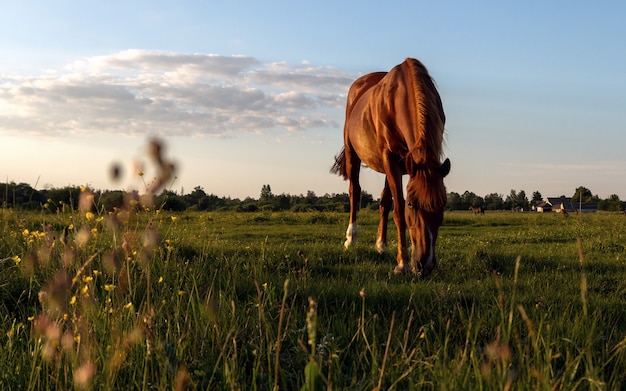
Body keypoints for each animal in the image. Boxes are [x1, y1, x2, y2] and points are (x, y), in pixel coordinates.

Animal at [330, 59, 446, 278]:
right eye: (412, 204)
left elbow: (389, 202)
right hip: (352, 154)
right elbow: (398, 209)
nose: (425, 264)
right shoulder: (389, 158)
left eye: (443, 205)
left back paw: (381, 246)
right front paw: (403, 264)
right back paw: (351, 239)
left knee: (384, 200)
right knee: (354, 191)